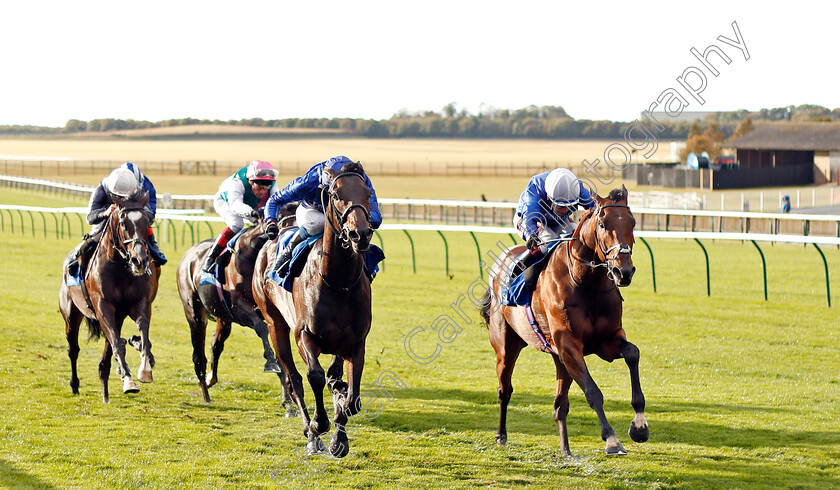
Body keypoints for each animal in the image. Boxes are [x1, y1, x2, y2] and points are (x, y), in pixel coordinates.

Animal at [59, 190, 159, 402]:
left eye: (146, 221)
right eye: (123, 223)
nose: (139, 260)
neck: (120, 268)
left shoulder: (140, 304)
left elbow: (142, 331)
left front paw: (144, 369)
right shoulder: (103, 307)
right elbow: (116, 344)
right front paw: (129, 381)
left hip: (117, 317)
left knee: (108, 352)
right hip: (71, 314)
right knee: (73, 349)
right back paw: (75, 384)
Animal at [253, 162, 374, 460]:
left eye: (367, 192)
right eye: (336, 194)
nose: (360, 234)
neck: (338, 281)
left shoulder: (356, 342)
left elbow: (351, 397)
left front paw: (340, 439)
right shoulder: (304, 335)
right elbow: (314, 376)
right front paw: (320, 424)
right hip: (275, 324)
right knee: (293, 379)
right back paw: (310, 434)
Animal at [480, 186, 648, 458]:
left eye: (632, 223)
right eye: (602, 224)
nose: (623, 272)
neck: (587, 283)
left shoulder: (606, 341)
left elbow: (633, 353)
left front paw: (640, 426)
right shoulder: (570, 346)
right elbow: (593, 391)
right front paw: (612, 440)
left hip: (559, 358)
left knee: (560, 405)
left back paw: (566, 449)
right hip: (506, 346)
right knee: (504, 391)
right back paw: (501, 436)